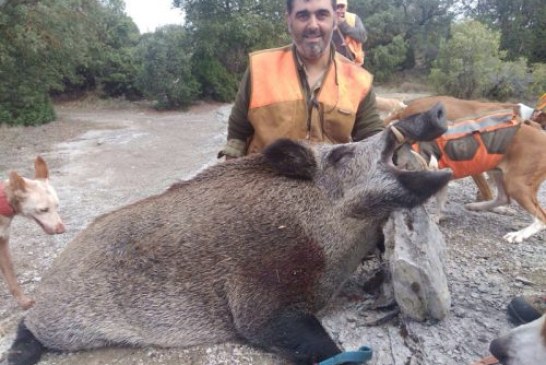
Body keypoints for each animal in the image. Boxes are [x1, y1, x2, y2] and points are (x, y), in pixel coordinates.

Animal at [0, 155, 64, 308]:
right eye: (43, 210)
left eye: (57, 205)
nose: (62, 229)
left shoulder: (3, 243)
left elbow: (11, 276)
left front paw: (23, 301)